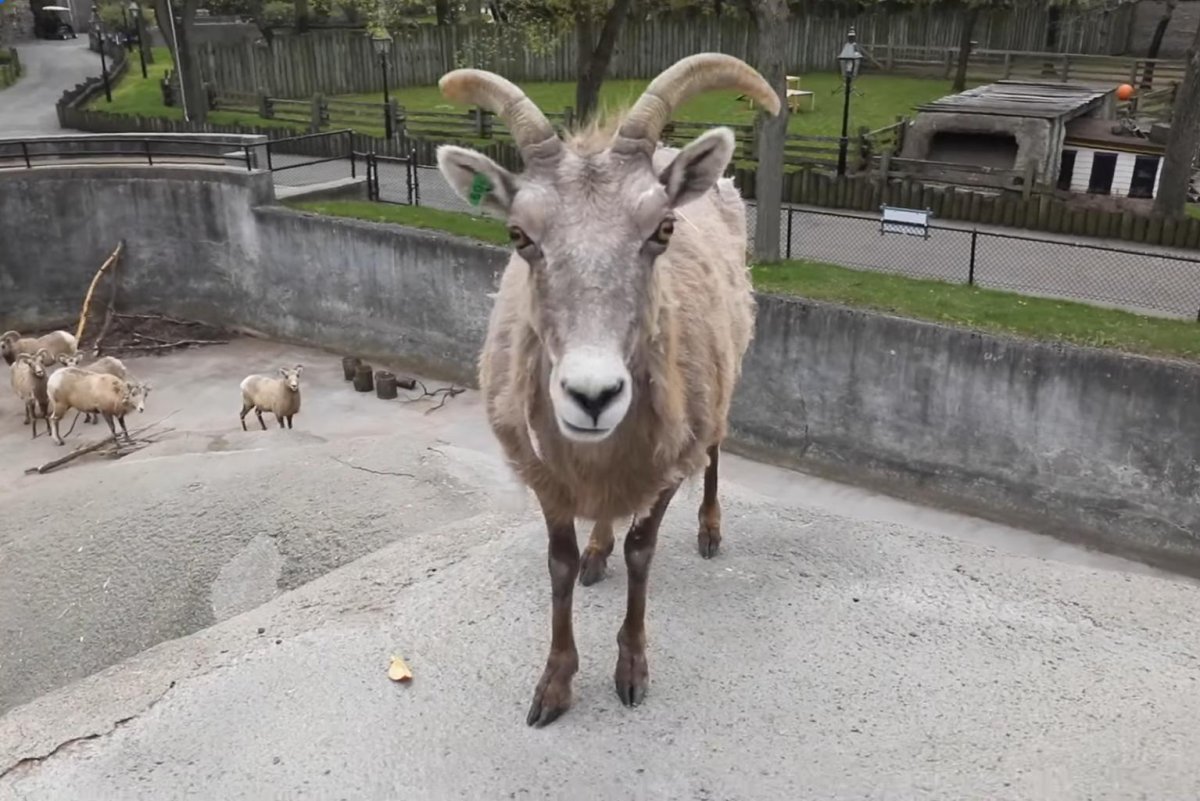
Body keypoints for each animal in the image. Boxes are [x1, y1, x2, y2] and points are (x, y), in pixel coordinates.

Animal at [433, 52, 780, 726]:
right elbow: (560, 563)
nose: (592, 396)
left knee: (715, 451)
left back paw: (709, 532)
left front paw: (631, 671)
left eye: (663, 228)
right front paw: (554, 687)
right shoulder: (546, 471)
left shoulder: (666, 461)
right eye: (519, 235)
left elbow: (642, 551)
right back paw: (599, 550)